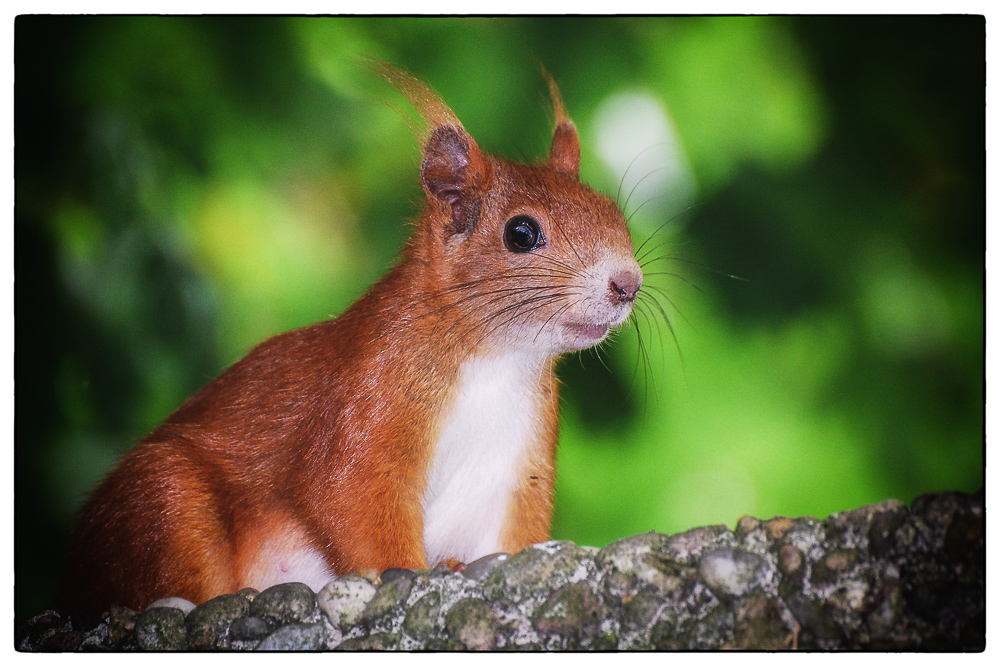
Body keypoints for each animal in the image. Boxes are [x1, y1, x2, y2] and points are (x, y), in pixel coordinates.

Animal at [58, 64, 644, 616]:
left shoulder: (516, 465)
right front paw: (413, 573)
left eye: (615, 215)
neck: (497, 358)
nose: (628, 283)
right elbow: (351, 499)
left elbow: (514, 539)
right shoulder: (367, 393)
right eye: (521, 233)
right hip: (165, 501)